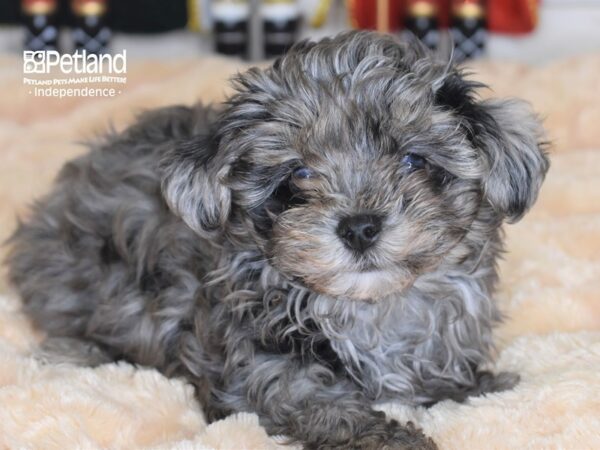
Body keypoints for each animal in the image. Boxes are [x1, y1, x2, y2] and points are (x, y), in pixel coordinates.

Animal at [5, 32, 548, 450]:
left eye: (414, 161)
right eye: (299, 174)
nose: (360, 227)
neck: (368, 308)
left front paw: (478, 385)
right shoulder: (254, 368)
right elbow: (310, 401)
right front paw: (386, 436)